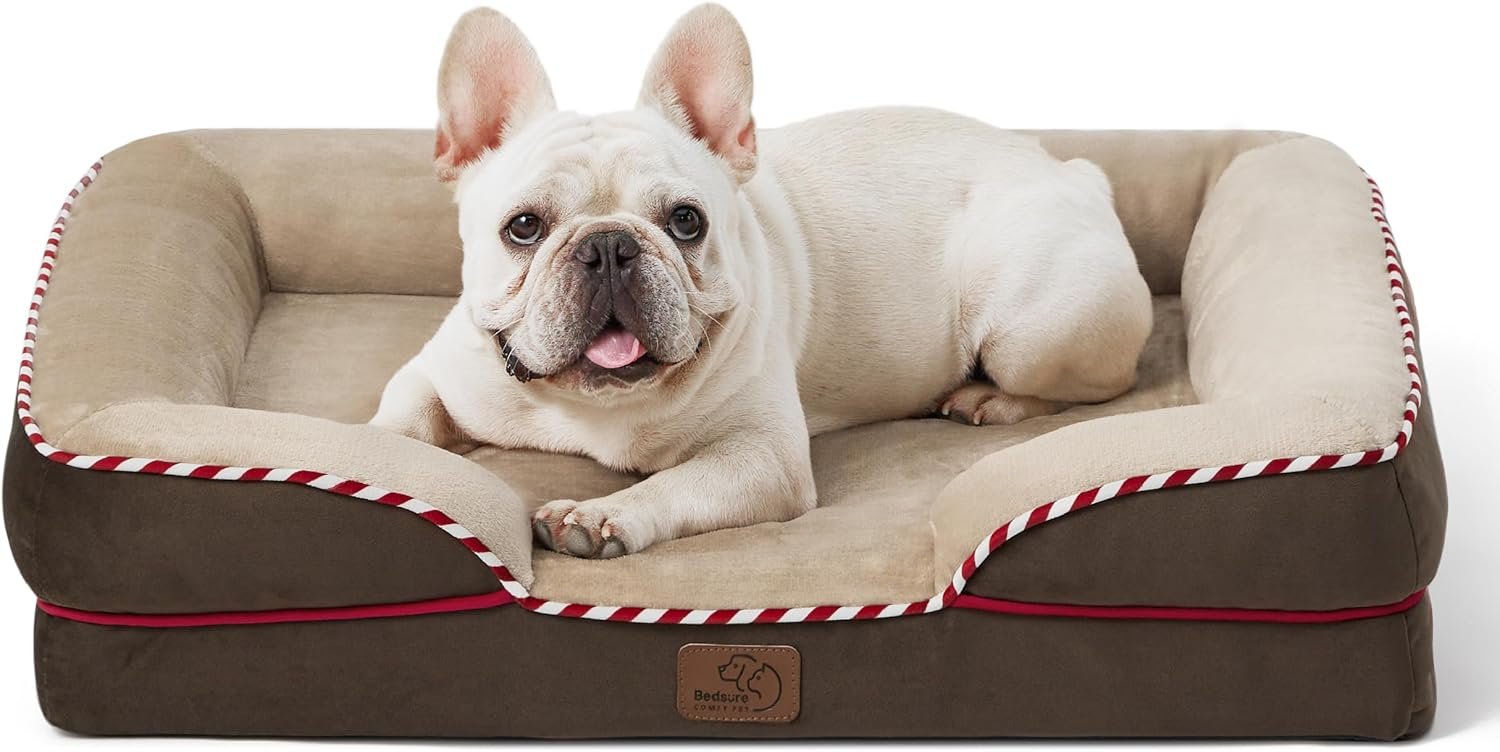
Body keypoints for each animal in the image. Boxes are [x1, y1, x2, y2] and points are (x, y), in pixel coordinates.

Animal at [371, 4, 1153, 559]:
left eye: (686, 221)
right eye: (524, 228)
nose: (609, 246)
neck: (597, 406)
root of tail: (1072, 171)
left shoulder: (762, 458)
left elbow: (678, 482)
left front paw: (602, 514)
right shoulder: (436, 374)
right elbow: (399, 423)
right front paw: (379, 463)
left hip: (1031, 333)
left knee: (1094, 386)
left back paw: (987, 399)